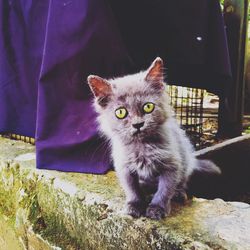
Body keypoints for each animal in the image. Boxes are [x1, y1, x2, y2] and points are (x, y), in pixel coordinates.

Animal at [87, 57, 220, 220]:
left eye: (148, 107)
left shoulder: (172, 165)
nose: (138, 124)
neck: (142, 148)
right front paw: (134, 205)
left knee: (181, 182)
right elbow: (132, 189)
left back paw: (179, 194)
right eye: (121, 112)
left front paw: (157, 208)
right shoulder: (124, 167)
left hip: (185, 161)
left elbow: (164, 190)